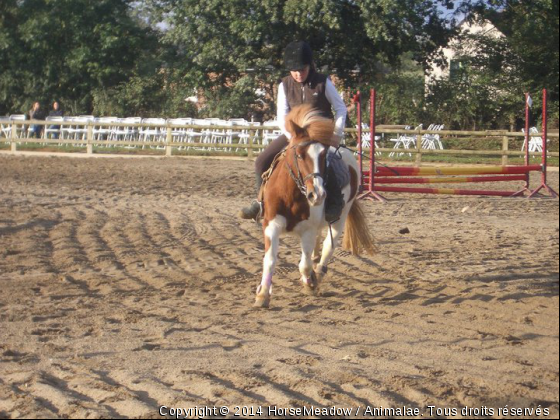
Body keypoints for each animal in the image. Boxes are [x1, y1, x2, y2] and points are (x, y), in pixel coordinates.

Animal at [255, 104, 376, 308]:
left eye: (323, 155)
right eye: (299, 155)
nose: (317, 194)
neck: (291, 195)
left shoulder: (308, 231)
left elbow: (304, 265)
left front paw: (310, 283)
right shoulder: (271, 225)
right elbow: (269, 260)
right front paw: (263, 295)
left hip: (340, 217)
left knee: (329, 245)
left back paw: (318, 272)